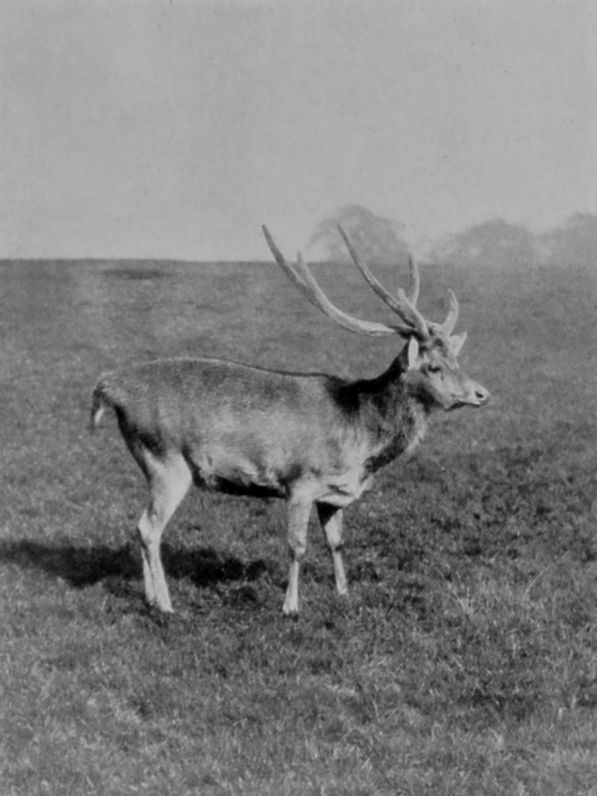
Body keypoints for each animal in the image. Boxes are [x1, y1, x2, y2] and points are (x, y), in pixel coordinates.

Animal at [90, 225, 489, 615]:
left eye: (456, 358)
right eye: (433, 366)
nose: (481, 393)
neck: (360, 442)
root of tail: (110, 388)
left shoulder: (334, 494)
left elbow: (337, 542)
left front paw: (343, 593)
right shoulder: (300, 482)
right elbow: (296, 546)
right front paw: (290, 606)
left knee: (141, 526)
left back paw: (148, 597)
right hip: (166, 460)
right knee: (148, 527)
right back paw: (165, 604)